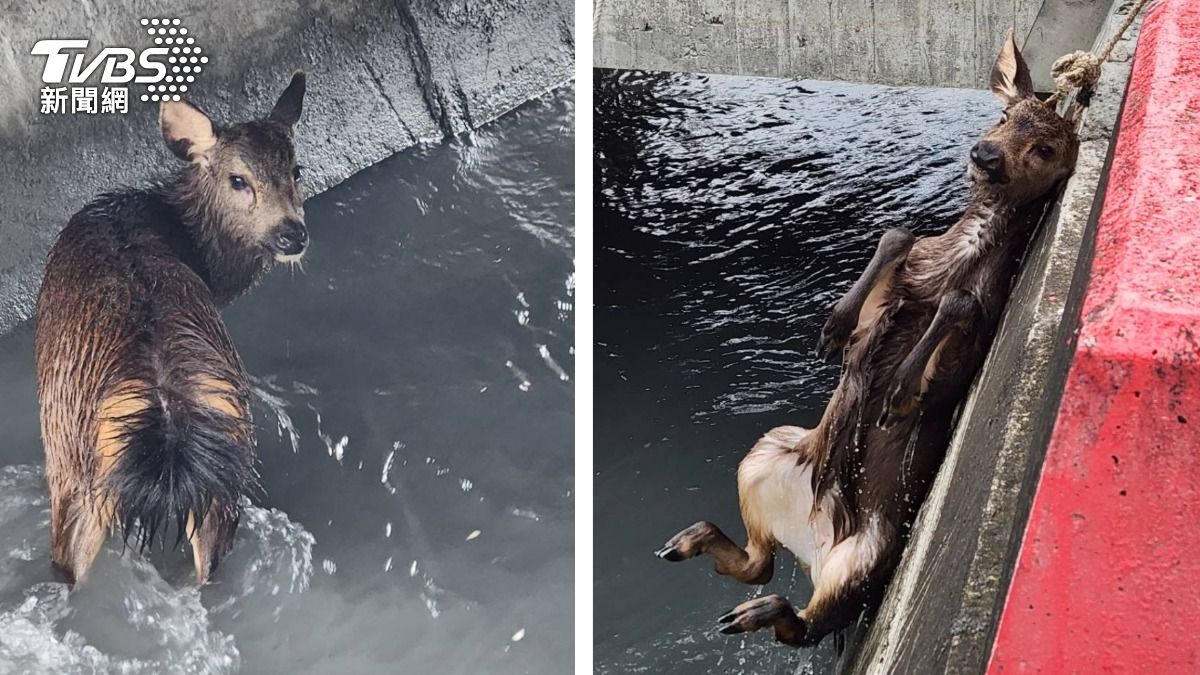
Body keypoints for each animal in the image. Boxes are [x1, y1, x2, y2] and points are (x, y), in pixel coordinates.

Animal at [655, 32, 1079, 648]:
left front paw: (898, 385)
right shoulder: (891, 292)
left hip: (866, 553)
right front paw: (832, 327)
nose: (985, 155)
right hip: (763, 457)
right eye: (1004, 115)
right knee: (760, 564)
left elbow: (960, 310)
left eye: (1045, 149)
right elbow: (896, 234)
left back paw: (746, 606)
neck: (953, 260)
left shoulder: (962, 358)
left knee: (799, 618)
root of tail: (812, 547)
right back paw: (689, 544)